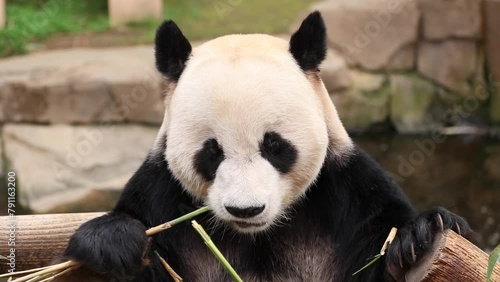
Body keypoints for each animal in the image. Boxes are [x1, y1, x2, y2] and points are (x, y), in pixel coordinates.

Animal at [60, 12, 470, 280]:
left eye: (274, 146)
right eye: (211, 151)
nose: (246, 209)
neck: (258, 233)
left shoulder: (348, 193)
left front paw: (419, 237)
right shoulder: (161, 193)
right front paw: (114, 243)